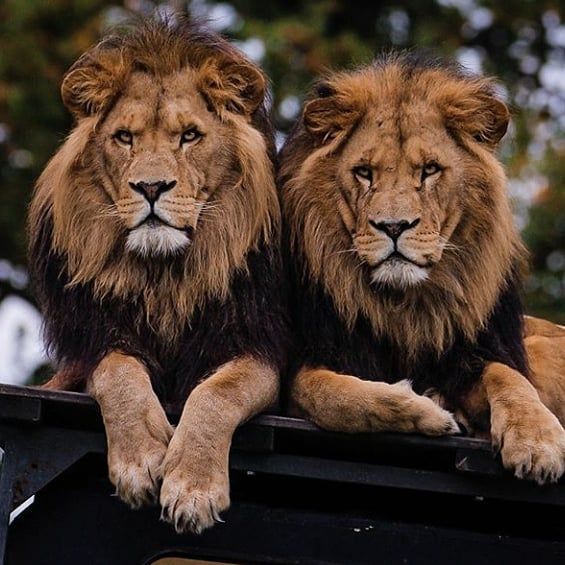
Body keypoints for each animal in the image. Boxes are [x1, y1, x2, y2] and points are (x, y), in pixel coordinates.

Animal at [27, 15, 286, 532]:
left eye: (189, 136)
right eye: (125, 138)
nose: (150, 187)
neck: (165, 278)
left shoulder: (258, 344)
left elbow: (218, 393)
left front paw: (193, 488)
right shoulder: (97, 341)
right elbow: (119, 374)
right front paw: (141, 459)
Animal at [280, 54, 564, 484]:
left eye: (430, 170)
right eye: (364, 172)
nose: (394, 226)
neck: (405, 308)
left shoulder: (478, 354)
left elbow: (507, 374)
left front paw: (536, 438)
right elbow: (332, 394)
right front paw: (427, 411)